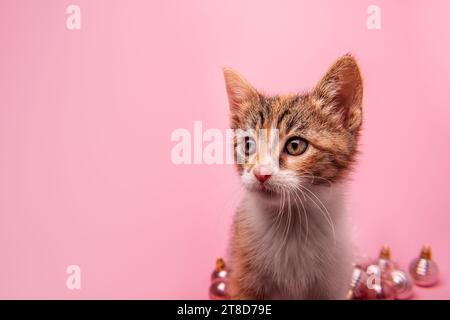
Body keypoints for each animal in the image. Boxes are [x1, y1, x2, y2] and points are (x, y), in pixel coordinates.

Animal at [223, 55, 364, 300]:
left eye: (295, 146)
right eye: (248, 145)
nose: (260, 173)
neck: (292, 224)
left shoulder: (334, 281)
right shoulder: (242, 279)